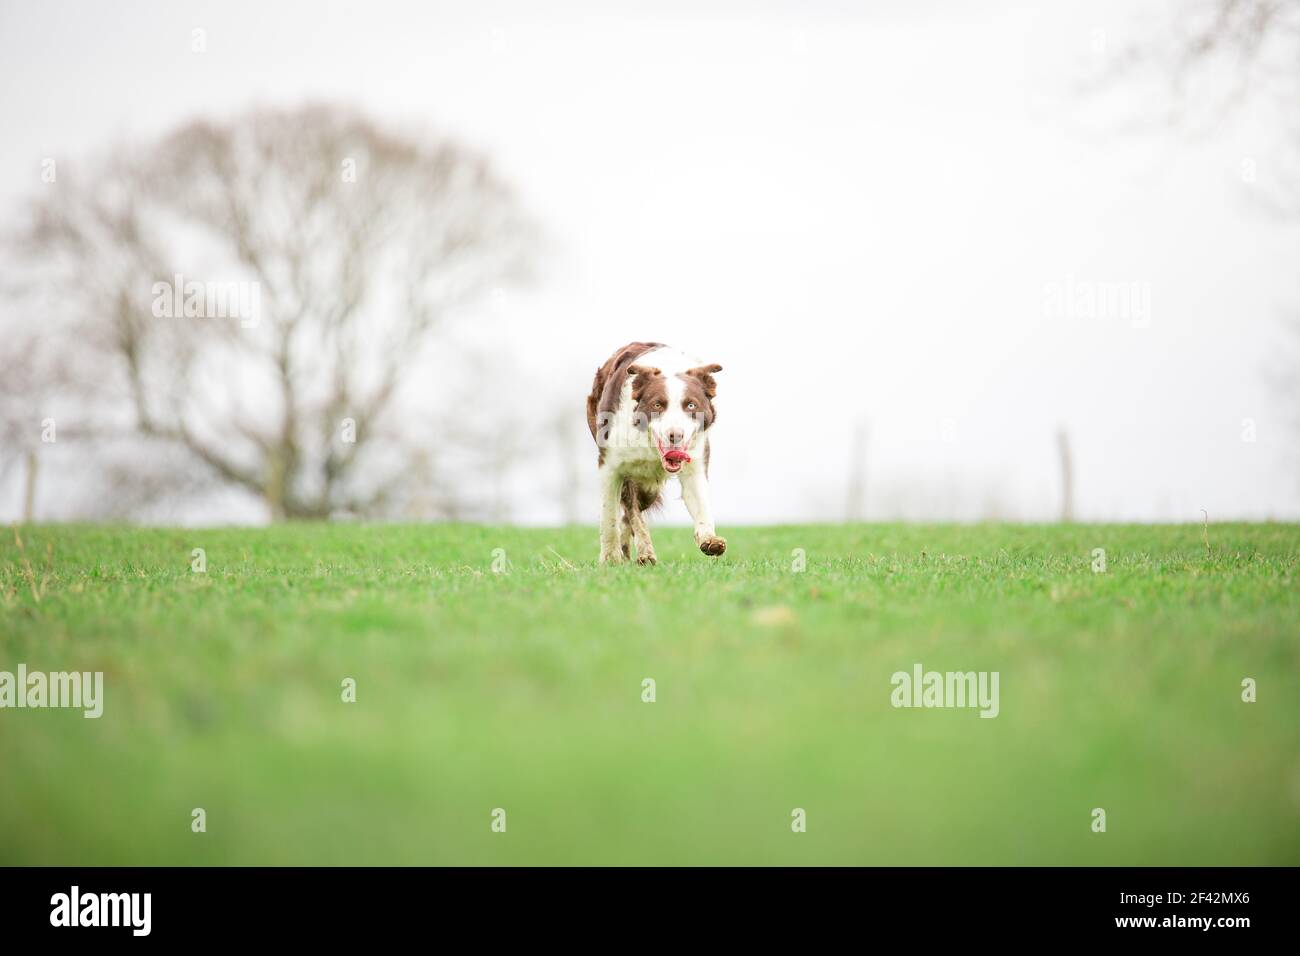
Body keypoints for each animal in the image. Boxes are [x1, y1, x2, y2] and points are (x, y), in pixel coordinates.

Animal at [587, 343, 728, 564]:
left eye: (691, 405)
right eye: (657, 405)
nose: (675, 435)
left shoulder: (694, 463)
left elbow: (702, 504)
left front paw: (710, 540)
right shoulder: (610, 466)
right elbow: (609, 515)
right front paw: (610, 558)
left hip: (649, 490)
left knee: (630, 515)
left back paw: (634, 552)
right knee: (630, 511)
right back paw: (641, 551)